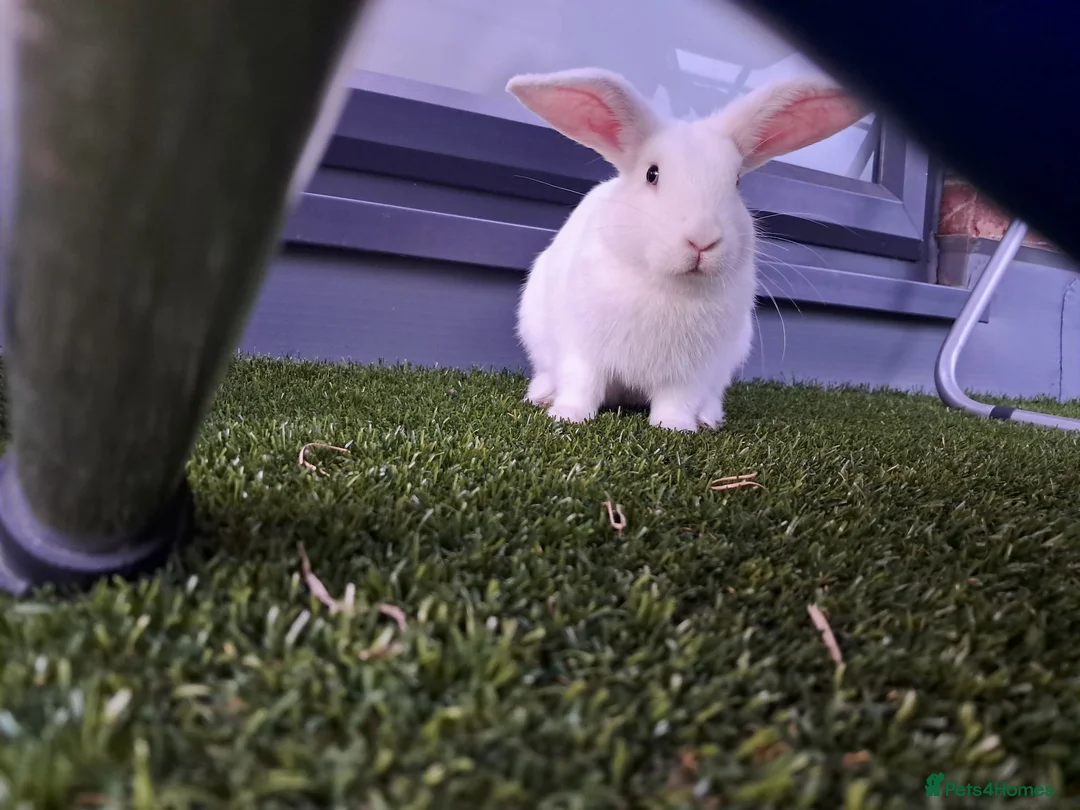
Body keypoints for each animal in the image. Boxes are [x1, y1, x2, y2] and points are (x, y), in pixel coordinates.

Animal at [504, 67, 864, 431]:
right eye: (652, 174)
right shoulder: (581, 348)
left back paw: (708, 418)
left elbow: (677, 400)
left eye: (737, 182)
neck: (669, 287)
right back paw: (542, 396)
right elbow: (582, 385)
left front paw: (674, 427)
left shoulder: (690, 372)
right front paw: (568, 417)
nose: (702, 239)